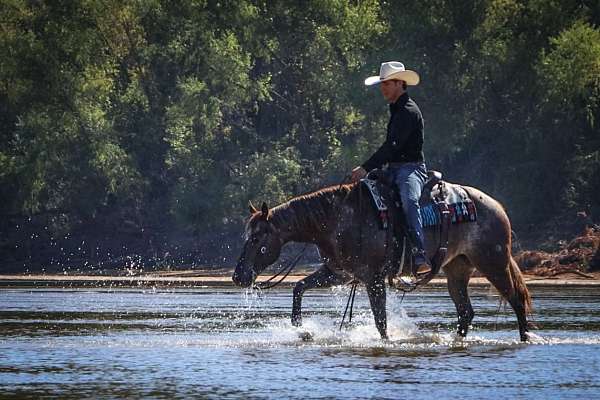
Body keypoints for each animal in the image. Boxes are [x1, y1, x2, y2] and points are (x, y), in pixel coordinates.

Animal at [232, 180, 532, 340]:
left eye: (256, 238)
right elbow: (299, 287)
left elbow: (381, 320)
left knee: (516, 300)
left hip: (493, 263)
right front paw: (299, 327)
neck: (337, 220)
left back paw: (525, 339)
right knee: (465, 312)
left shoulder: (373, 278)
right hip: (458, 269)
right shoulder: (339, 272)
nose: (238, 276)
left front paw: (387, 342)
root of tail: (497, 207)